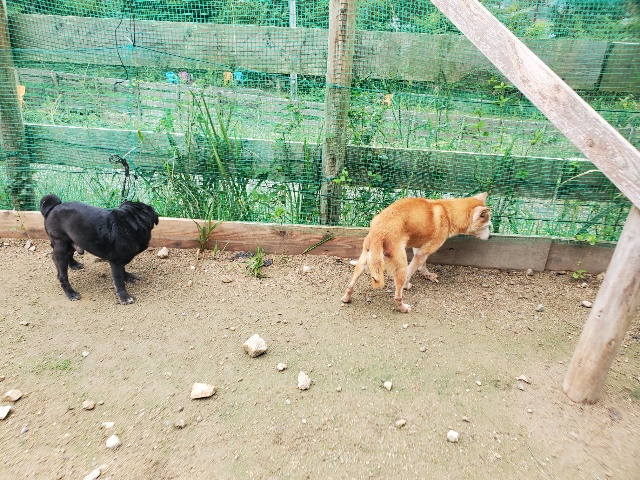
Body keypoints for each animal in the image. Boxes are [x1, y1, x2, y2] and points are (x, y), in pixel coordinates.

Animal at [341, 193, 492, 313]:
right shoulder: (422, 252)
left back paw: (346, 298)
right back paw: (403, 308)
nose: (490, 237)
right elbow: (411, 272)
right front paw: (407, 285)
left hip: (363, 262)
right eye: (487, 226)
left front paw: (428, 275)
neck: (448, 213)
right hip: (400, 265)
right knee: (397, 296)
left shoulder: (419, 249)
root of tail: (380, 230)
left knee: (350, 285)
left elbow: (422, 265)